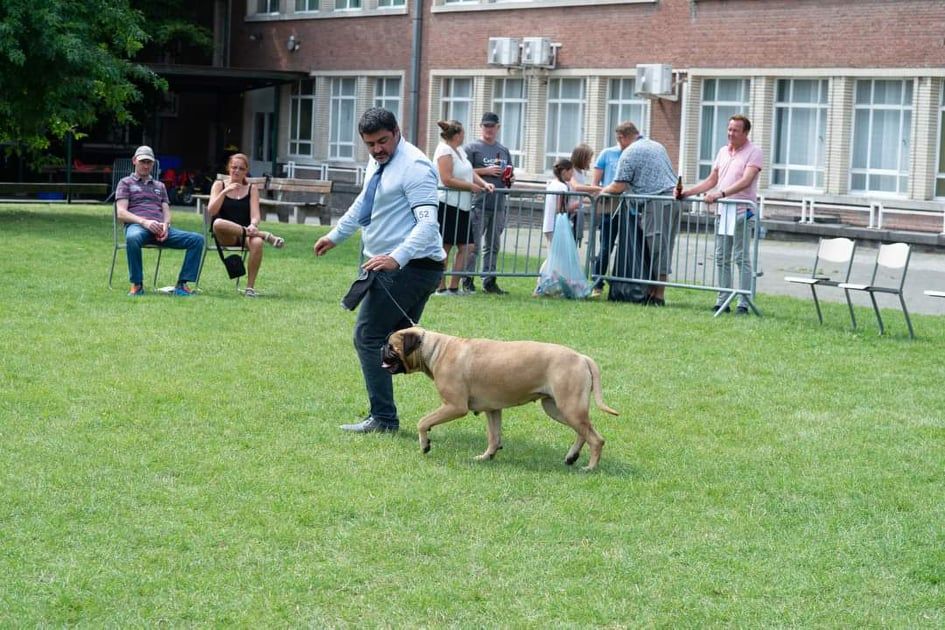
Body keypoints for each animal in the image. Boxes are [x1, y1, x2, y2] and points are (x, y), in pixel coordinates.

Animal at [382, 328, 620, 472]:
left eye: (391, 347)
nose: (380, 348)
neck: (435, 350)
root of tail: (582, 358)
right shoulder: (493, 410)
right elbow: (494, 437)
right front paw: (487, 456)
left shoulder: (454, 406)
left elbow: (422, 422)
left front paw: (425, 444)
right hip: (558, 408)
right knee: (584, 432)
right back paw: (572, 456)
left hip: (568, 407)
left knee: (596, 439)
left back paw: (590, 467)